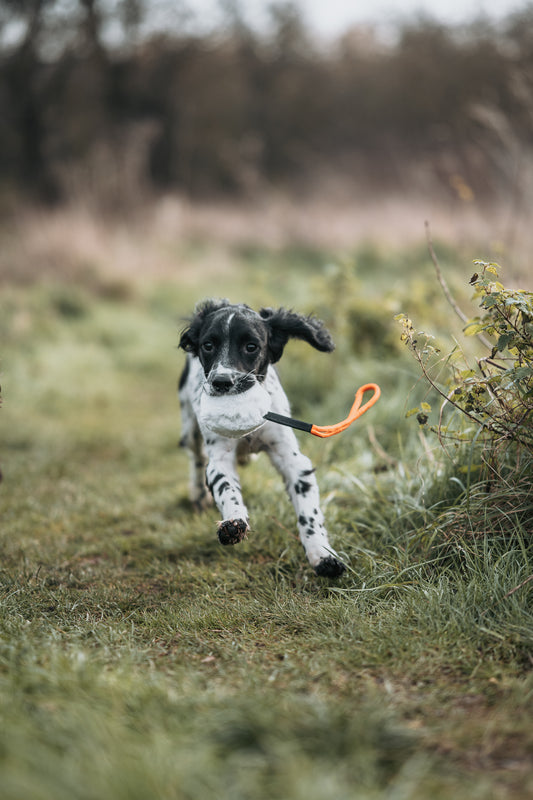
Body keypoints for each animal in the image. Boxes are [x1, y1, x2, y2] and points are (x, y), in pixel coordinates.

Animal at [178, 298, 344, 576]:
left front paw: (322, 555)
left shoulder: (292, 458)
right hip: (189, 427)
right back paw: (199, 495)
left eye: (251, 346)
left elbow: (308, 511)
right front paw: (233, 522)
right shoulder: (220, 457)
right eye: (208, 345)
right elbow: (226, 488)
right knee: (195, 458)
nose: (221, 382)